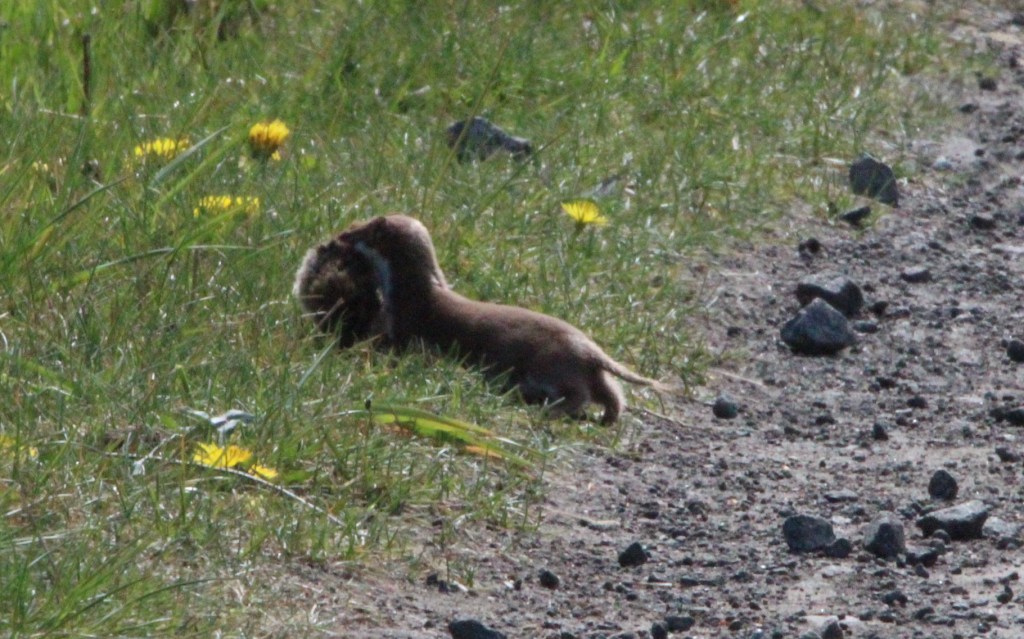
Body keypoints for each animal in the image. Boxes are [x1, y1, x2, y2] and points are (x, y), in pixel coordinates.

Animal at [299, 214, 665, 424]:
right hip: (589, 369)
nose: (335, 238)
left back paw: (550, 408)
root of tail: (590, 349)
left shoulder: (403, 326)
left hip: (552, 362)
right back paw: (607, 416)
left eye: (353, 230)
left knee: (578, 394)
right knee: (613, 392)